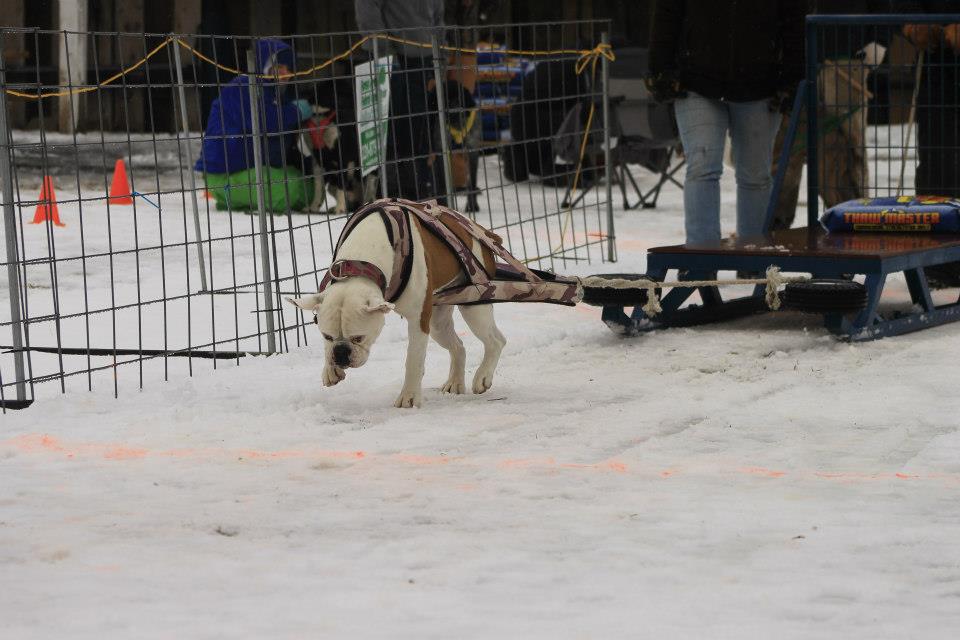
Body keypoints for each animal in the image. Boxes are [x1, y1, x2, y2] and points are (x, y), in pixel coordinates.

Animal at [284, 198, 580, 408]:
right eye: (326, 336)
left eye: (359, 337)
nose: (342, 355)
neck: (363, 260)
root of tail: (483, 232)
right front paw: (330, 370)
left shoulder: (418, 320)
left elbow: (413, 360)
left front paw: (409, 397)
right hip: (439, 320)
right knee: (458, 347)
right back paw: (455, 382)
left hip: (474, 304)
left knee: (496, 341)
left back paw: (482, 377)